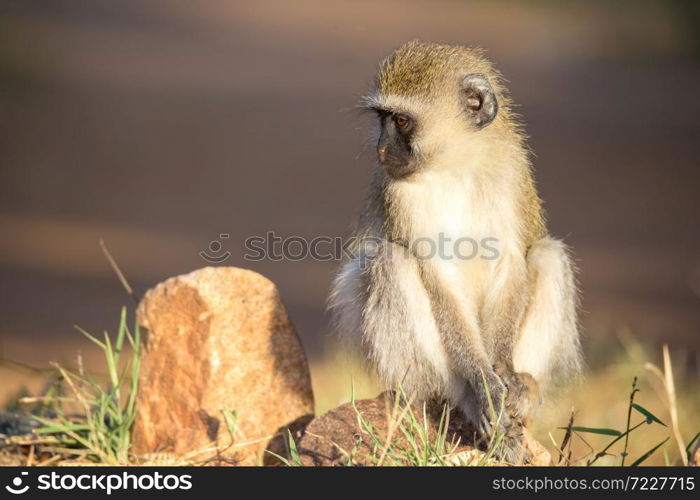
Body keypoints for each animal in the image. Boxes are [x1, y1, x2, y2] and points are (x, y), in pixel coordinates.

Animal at [330, 41, 584, 462]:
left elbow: (511, 262)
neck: (456, 165)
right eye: (382, 119)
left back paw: (525, 391)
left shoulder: (512, 173)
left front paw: (506, 374)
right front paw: (483, 383)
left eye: (401, 121)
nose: (382, 151)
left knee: (548, 255)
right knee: (392, 260)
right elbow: (437, 277)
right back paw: (467, 398)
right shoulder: (400, 193)